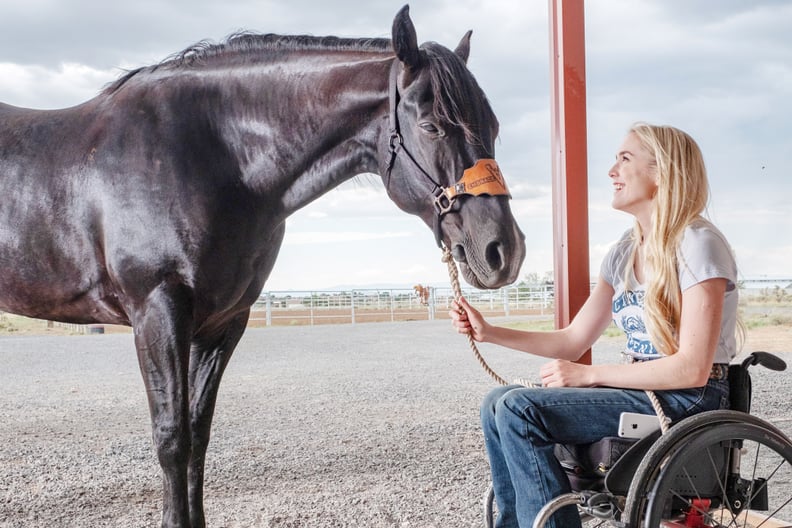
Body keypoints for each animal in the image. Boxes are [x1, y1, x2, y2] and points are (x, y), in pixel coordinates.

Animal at [1, 5, 524, 528]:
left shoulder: (223, 323)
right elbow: (172, 439)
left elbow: (199, 434)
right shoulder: (157, 310)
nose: (504, 250)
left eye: (495, 126)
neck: (211, 156)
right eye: (433, 126)